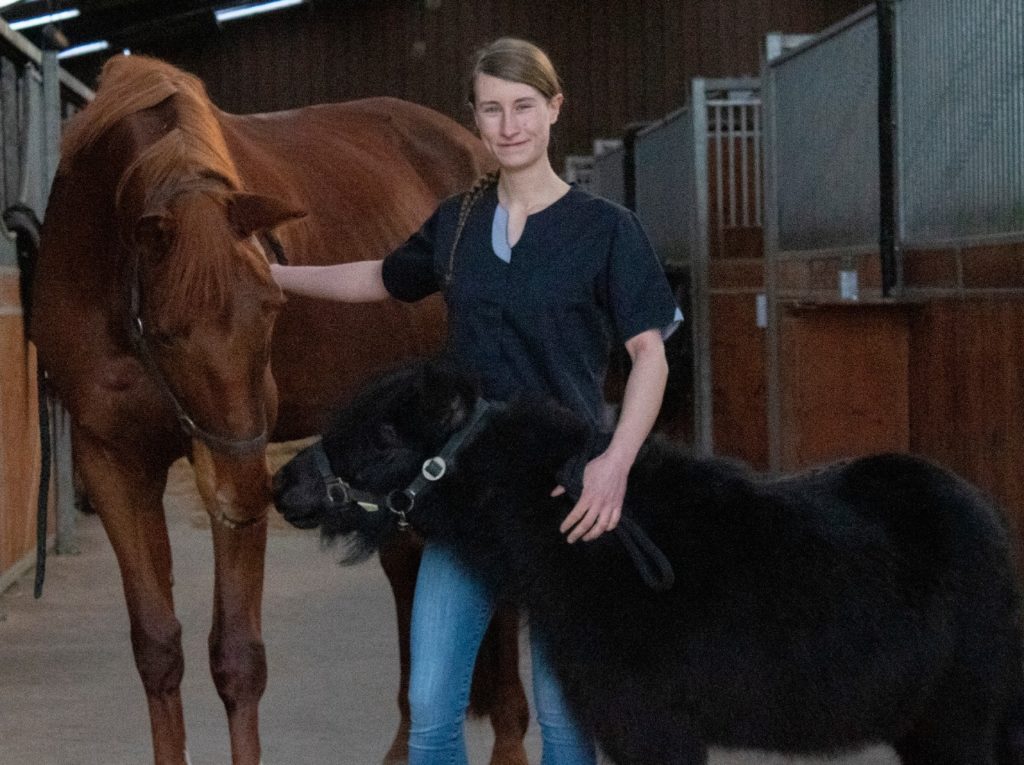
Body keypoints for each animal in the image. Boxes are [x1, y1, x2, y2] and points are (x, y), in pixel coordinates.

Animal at [32, 56, 528, 765]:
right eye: (168, 333)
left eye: (271, 310)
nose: (247, 499)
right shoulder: (112, 462)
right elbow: (157, 648)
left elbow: (238, 659)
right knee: (405, 562)